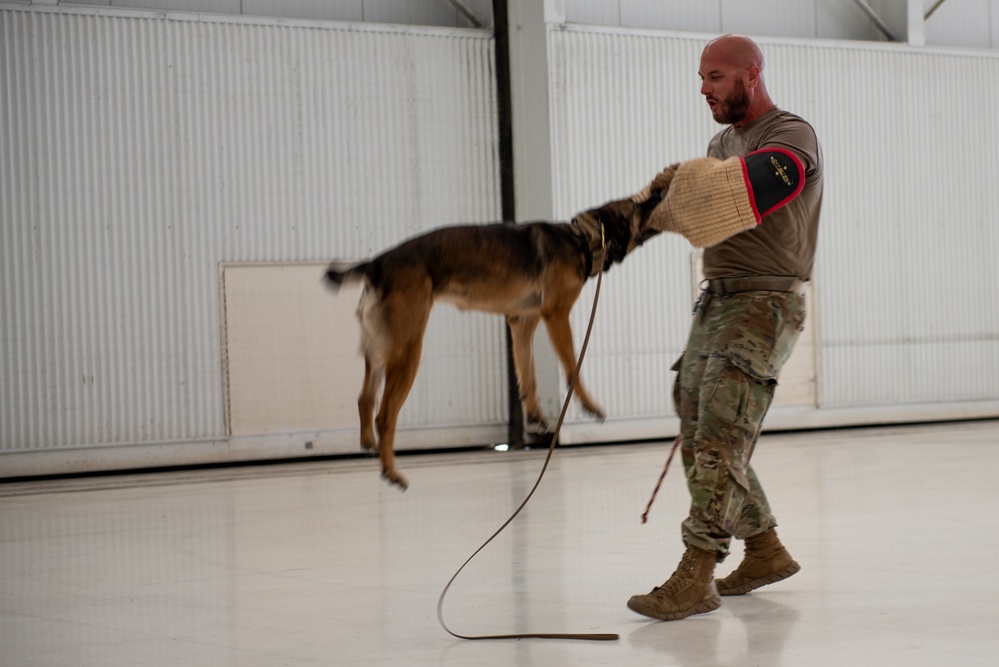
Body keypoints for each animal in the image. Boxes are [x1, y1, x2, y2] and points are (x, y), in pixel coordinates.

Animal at [328, 188, 668, 490]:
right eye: (637, 204)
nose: (661, 190)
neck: (582, 239)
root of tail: (376, 264)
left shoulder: (523, 323)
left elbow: (528, 376)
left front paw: (536, 417)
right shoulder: (556, 316)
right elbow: (573, 366)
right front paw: (589, 405)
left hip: (380, 351)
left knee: (365, 399)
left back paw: (370, 446)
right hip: (408, 351)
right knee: (384, 415)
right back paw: (391, 472)